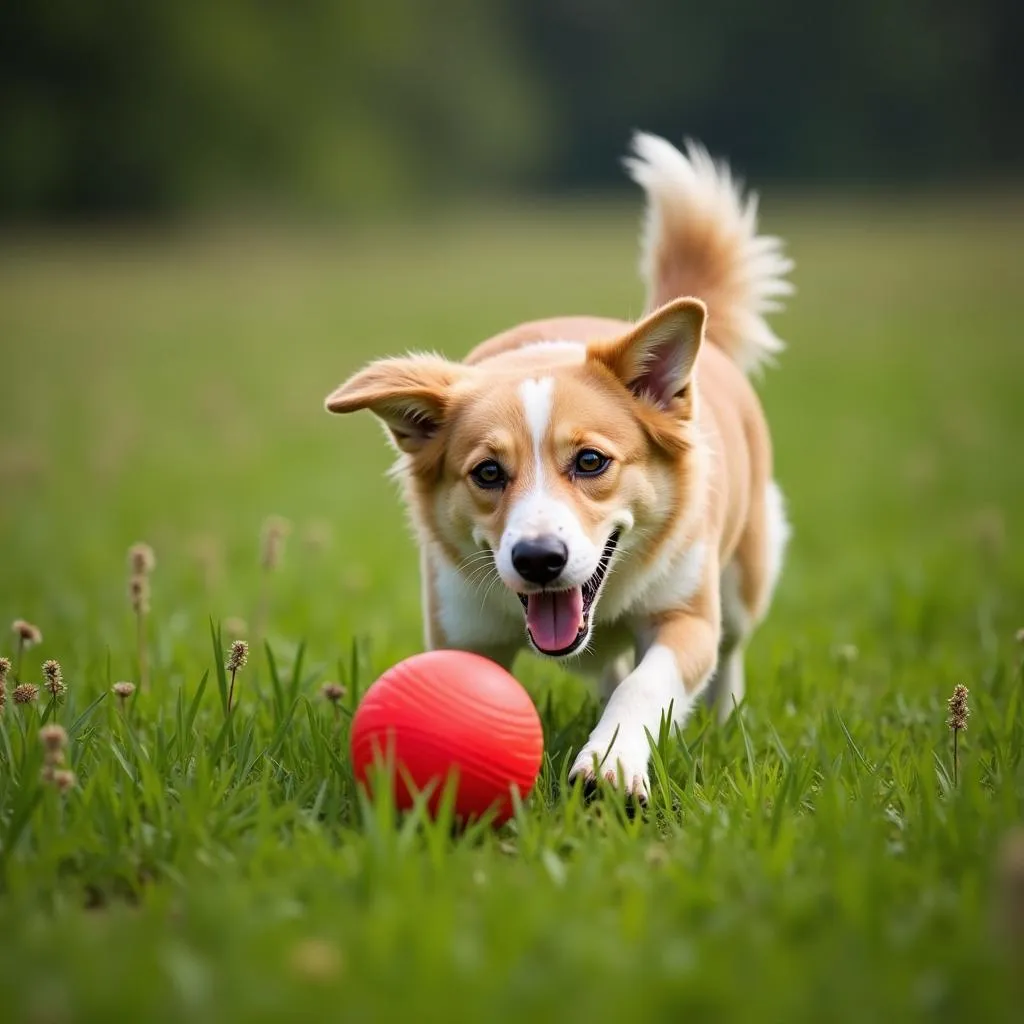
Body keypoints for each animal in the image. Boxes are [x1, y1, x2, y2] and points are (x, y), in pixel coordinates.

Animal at [325, 132, 790, 798]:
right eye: (488, 473)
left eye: (591, 461)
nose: (538, 560)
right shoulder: (463, 627)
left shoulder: (685, 617)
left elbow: (647, 683)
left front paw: (609, 765)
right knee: (606, 666)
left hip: (746, 574)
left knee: (727, 650)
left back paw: (725, 720)